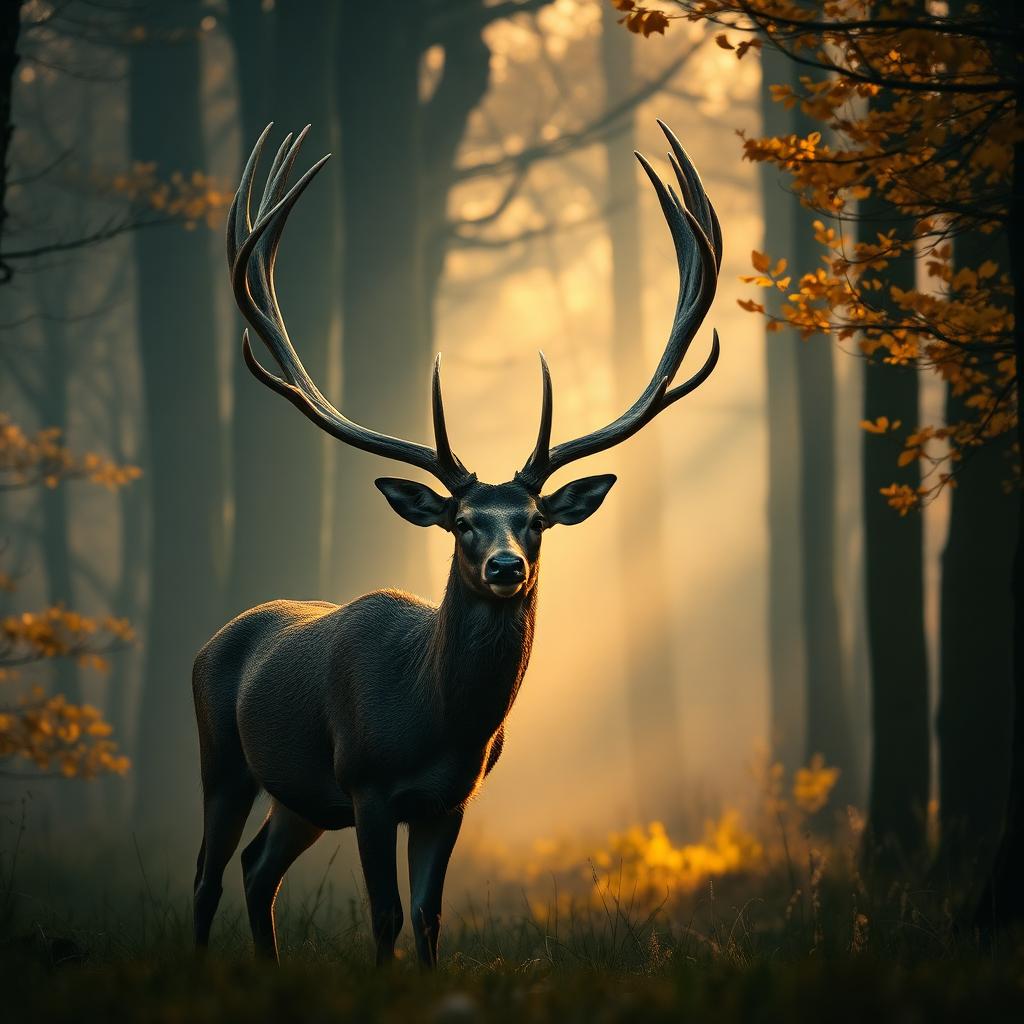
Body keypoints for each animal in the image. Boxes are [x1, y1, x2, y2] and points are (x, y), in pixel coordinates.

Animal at [192, 119, 721, 968]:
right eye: (463, 521)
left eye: (534, 520)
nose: (506, 566)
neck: (437, 720)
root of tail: (214, 641)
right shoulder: (367, 783)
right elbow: (384, 914)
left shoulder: (452, 799)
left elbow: (429, 916)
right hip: (223, 758)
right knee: (208, 872)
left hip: (300, 798)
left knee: (255, 867)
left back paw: (267, 971)